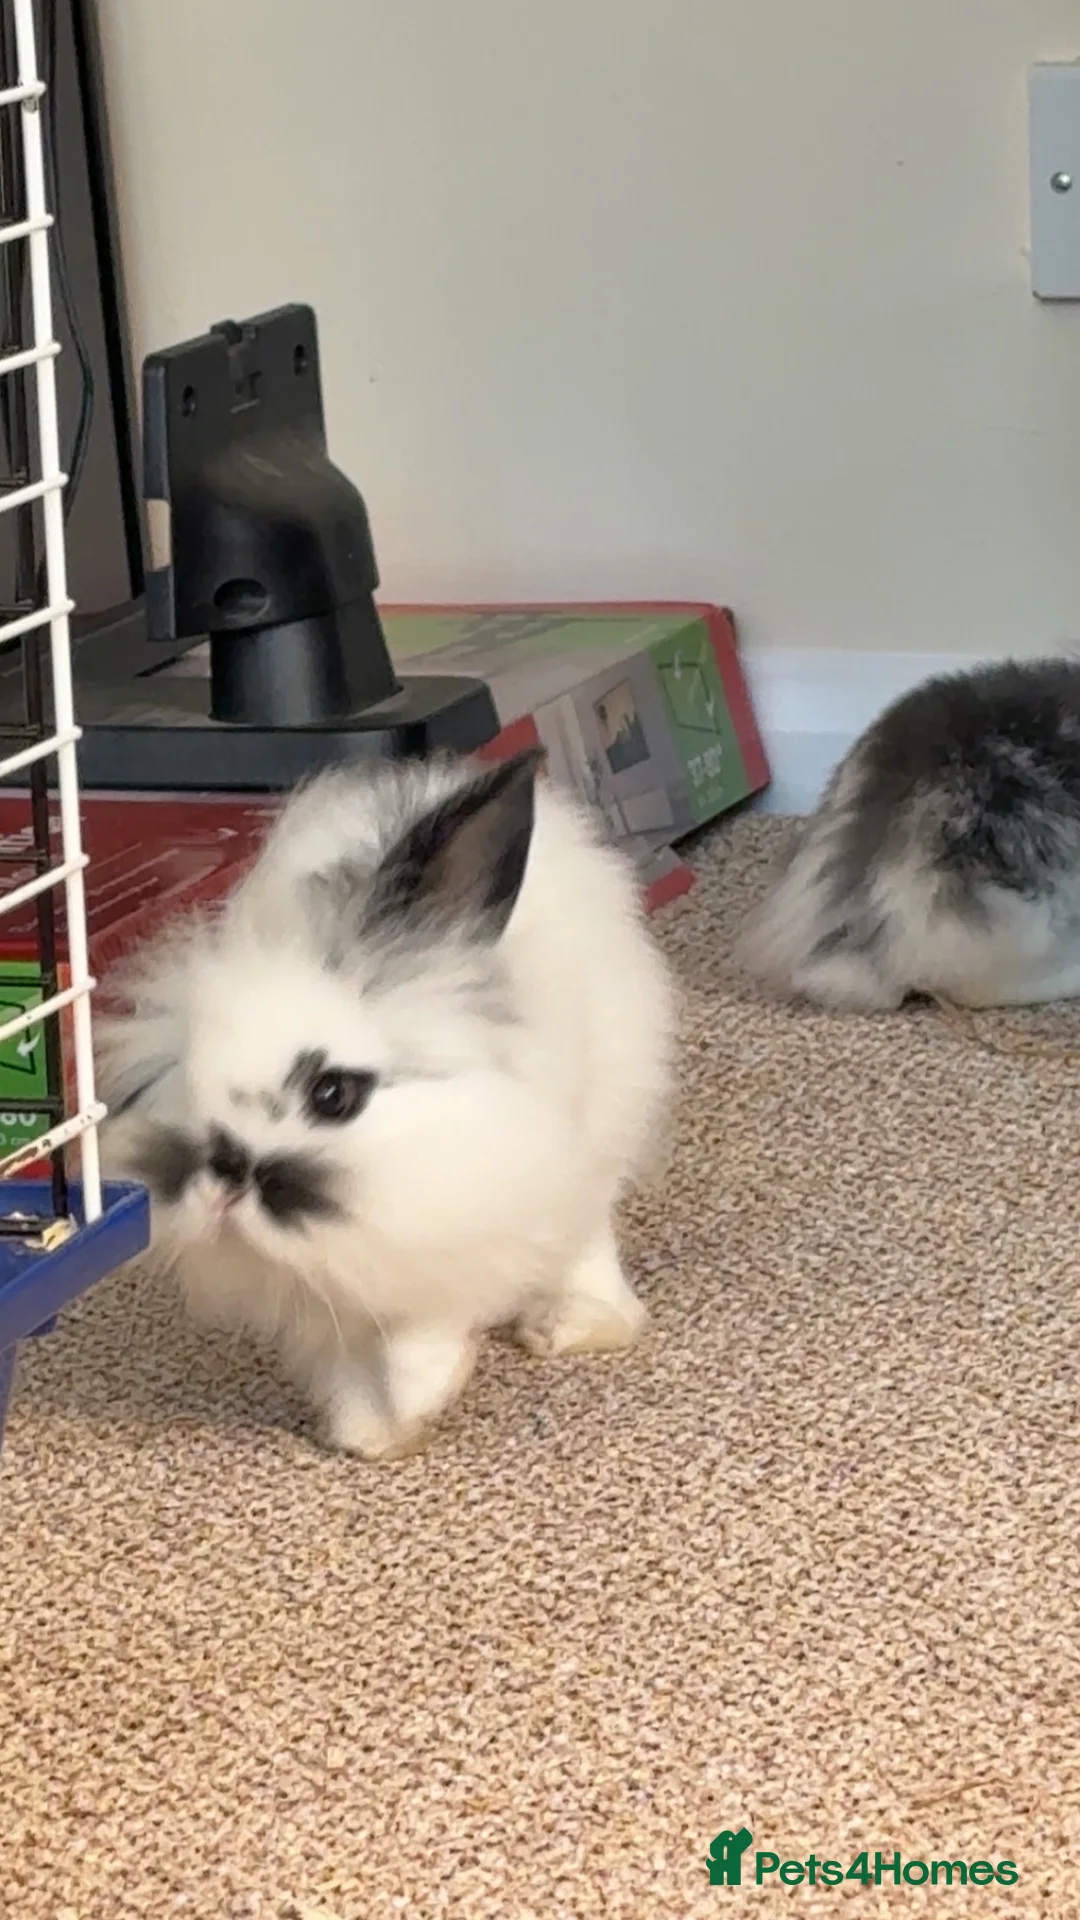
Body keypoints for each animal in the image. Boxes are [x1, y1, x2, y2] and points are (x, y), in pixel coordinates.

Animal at [97, 748, 675, 1460]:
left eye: (333, 1094)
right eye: (183, 1076)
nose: (227, 1173)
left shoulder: (460, 1229)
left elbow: (420, 1342)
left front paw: (416, 1403)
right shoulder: (329, 1299)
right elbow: (345, 1365)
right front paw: (367, 1437)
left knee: (586, 1239)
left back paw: (574, 1326)